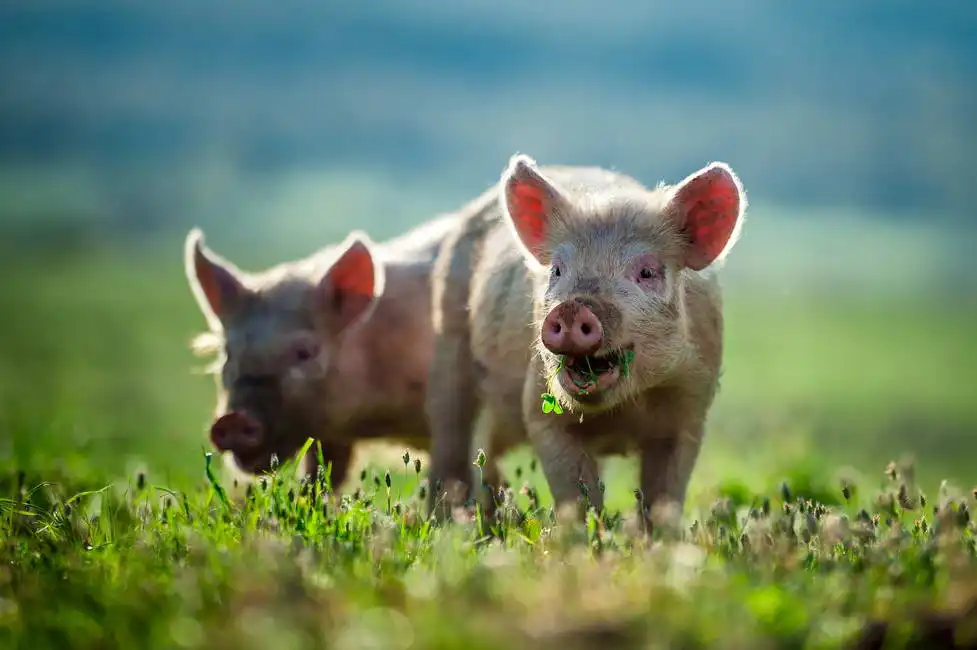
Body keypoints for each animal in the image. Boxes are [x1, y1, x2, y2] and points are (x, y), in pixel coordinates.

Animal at [425, 153, 747, 525]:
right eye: (557, 270)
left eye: (647, 272)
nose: (573, 307)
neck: (621, 411)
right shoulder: (540, 408)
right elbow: (576, 497)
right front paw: (584, 534)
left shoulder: (690, 407)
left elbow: (663, 498)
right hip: (449, 343)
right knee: (452, 442)